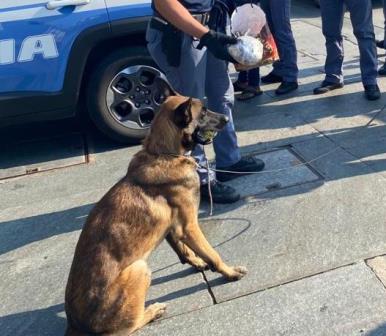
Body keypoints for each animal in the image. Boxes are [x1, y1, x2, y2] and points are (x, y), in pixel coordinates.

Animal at [65, 96, 247, 334]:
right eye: (204, 112)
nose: (226, 118)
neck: (163, 153)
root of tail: (75, 324)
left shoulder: (173, 228)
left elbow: (184, 251)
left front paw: (198, 261)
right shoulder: (189, 227)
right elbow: (213, 254)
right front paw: (229, 272)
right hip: (140, 269)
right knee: (129, 326)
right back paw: (152, 311)